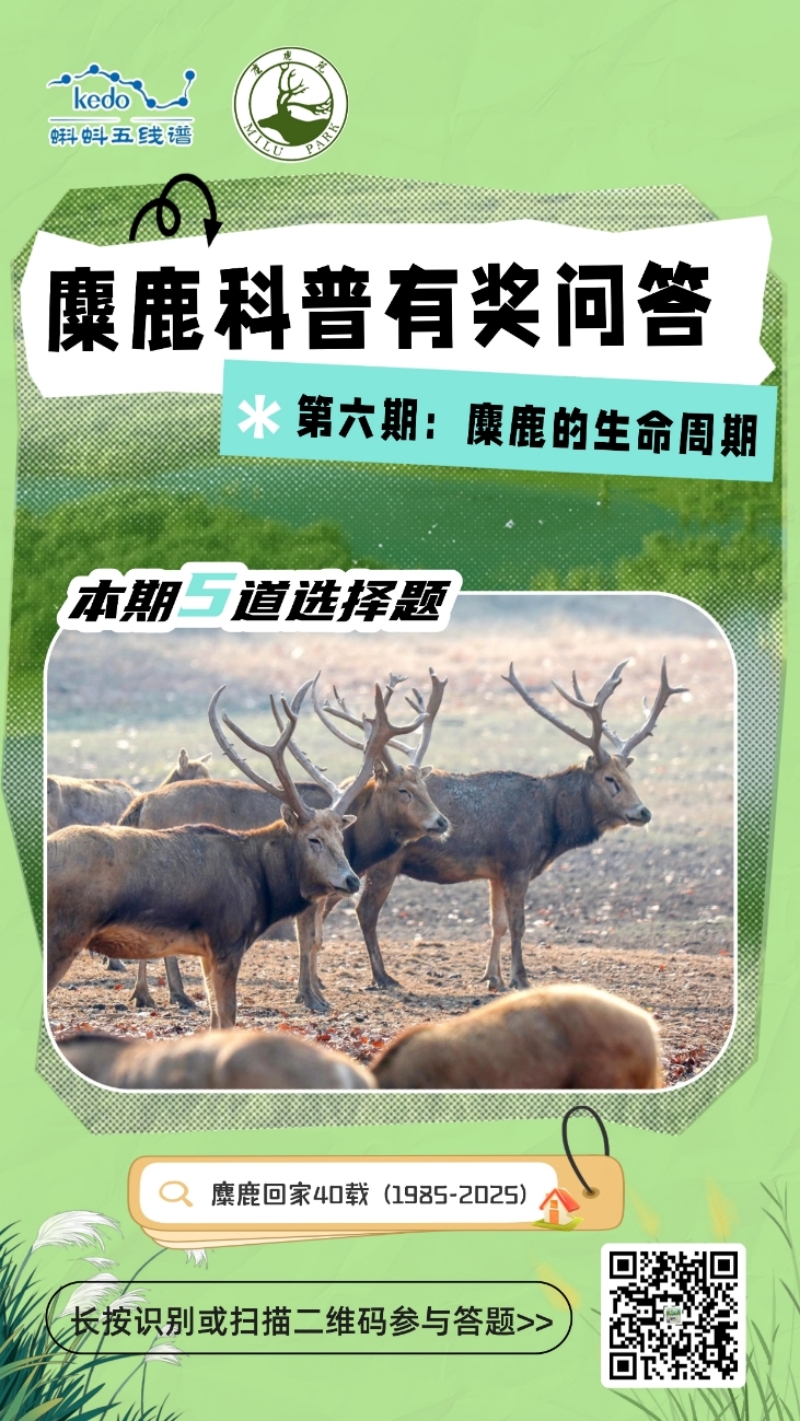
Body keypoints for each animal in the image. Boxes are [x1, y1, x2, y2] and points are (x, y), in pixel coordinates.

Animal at [47, 685, 423, 1029]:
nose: (351, 880)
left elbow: (217, 1018)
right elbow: (228, 1017)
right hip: (63, 934)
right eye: (313, 839)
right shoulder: (227, 939)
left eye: (340, 837)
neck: (261, 887)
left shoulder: (207, 951)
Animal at [350, 657, 686, 995]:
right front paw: (520, 978)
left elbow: (496, 923)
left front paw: (492, 977)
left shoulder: (496, 872)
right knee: (365, 911)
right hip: (385, 862)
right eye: (610, 779)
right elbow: (518, 924)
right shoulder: (517, 864)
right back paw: (382, 976)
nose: (643, 812)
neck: (551, 824)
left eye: (629, 777)